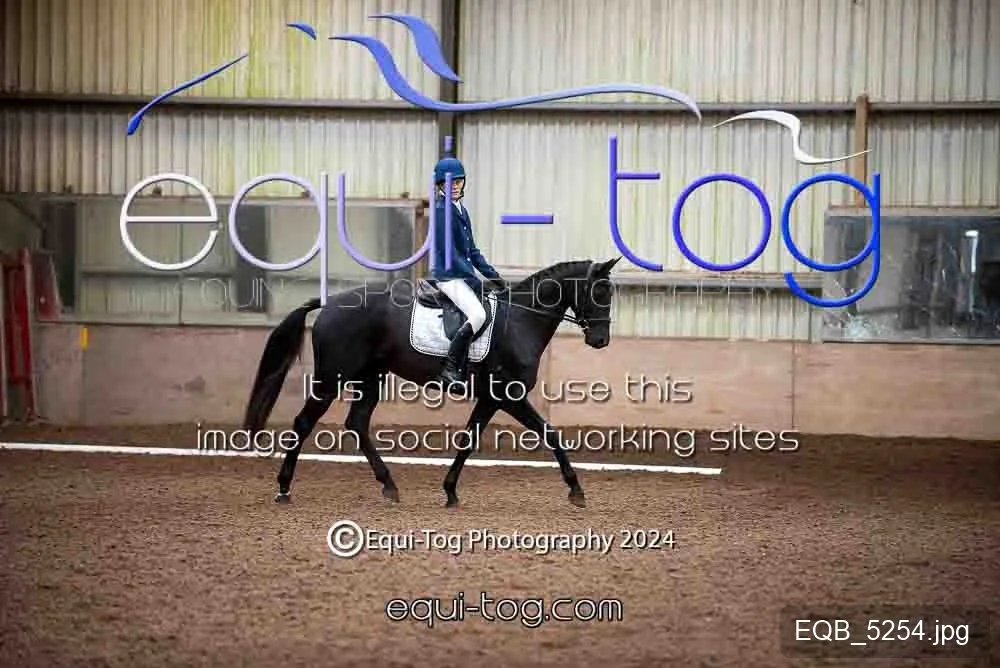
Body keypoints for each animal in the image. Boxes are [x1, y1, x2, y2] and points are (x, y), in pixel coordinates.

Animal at [240, 256, 621, 508]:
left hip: (371, 376)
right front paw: (576, 490)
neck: (521, 321)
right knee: (304, 422)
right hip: (332, 377)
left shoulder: (491, 399)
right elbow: (550, 433)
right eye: (600, 291)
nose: (600, 340)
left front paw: (450, 490)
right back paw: (284, 488)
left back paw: (389, 486)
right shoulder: (508, 396)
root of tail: (330, 303)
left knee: (357, 423)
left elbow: (468, 440)